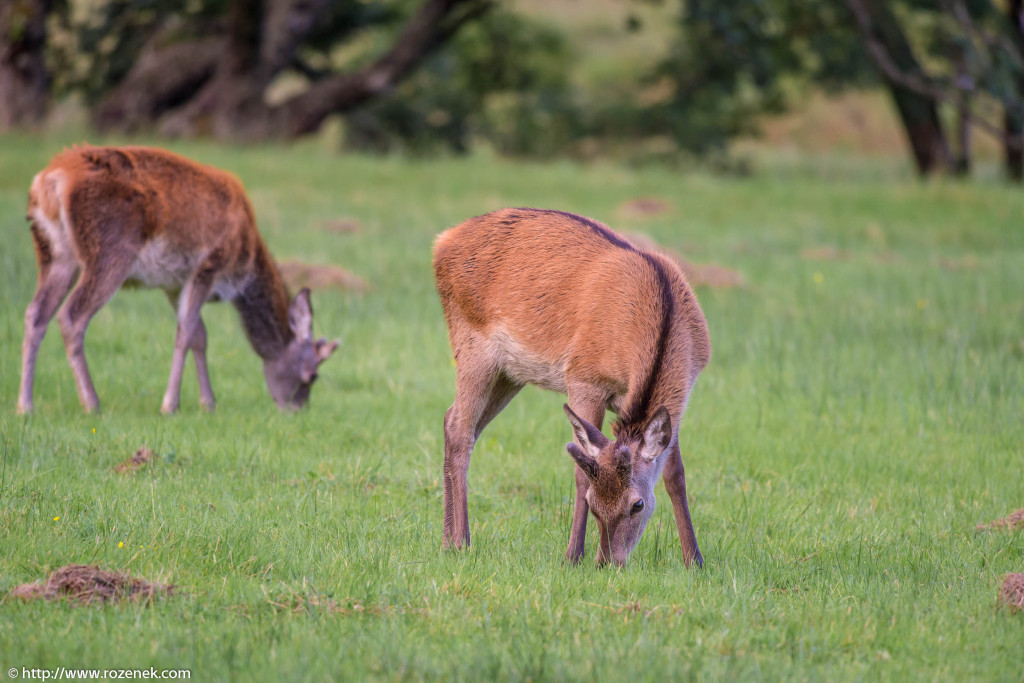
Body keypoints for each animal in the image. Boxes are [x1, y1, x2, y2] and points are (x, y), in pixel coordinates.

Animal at [18, 145, 339, 417]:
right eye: (312, 375)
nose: (298, 410)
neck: (243, 267)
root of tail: (50, 181)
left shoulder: (174, 282)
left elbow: (200, 335)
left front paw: (208, 403)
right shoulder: (208, 266)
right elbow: (185, 333)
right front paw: (170, 405)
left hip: (54, 253)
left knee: (36, 313)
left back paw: (25, 406)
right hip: (110, 251)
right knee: (72, 316)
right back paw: (92, 403)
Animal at [432, 206, 712, 565]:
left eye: (638, 504)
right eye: (593, 504)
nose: (608, 562)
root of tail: (442, 242)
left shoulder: (678, 400)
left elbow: (675, 475)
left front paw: (695, 561)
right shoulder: (584, 377)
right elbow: (580, 472)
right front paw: (572, 556)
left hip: (509, 374)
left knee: (452, 419)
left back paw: (445, 541)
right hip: (471, 346)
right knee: (461, 431)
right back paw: (462, 541)